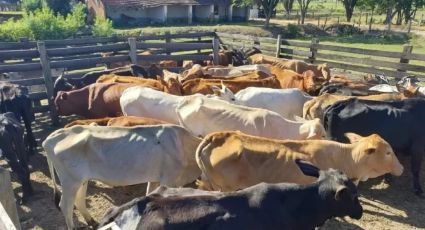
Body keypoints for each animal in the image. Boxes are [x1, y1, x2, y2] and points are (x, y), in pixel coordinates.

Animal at [42, 125, 201, 229]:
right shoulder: (169, 178)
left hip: (81, 181)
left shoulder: (155, 178)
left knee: (79, 200)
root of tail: (52, 137)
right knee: (66, 206)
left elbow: (149, 194)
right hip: (70, 181)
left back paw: (92, 221)